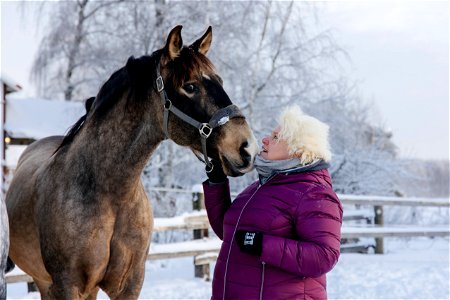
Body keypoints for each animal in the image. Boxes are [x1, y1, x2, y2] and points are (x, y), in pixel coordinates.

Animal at [5, 26, 258, 300]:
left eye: (220, 81)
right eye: (190, 86)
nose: (247, 147)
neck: (111, 196)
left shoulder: (130, 284)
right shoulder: (66, 285)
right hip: (45, 282)